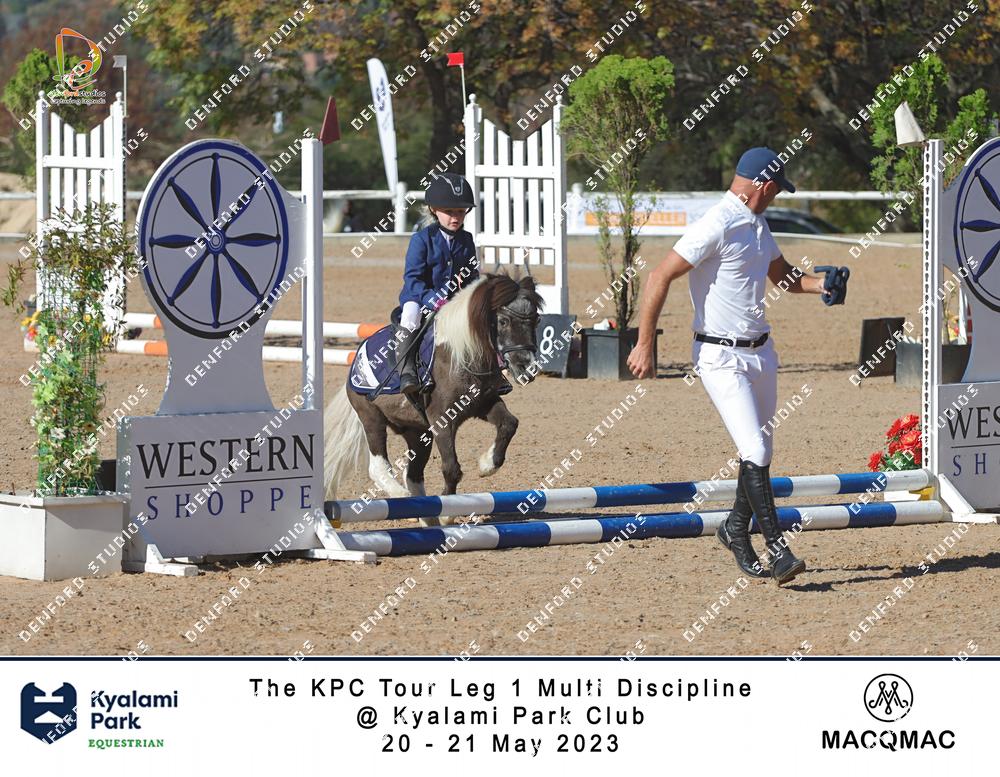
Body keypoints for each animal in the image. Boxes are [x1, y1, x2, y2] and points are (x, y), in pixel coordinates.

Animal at [323, 272, 544, 525]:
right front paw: (448, 513)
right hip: (372, 418)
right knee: (378, 466)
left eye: (536, 320)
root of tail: (358, 356)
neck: (463, 355)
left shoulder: (484, 404)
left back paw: (425, 516)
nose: (527, 368)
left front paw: (487, 464)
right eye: (504, 321)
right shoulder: (442, 420)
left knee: (413, 474)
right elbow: (451, 468)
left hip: (418, 432)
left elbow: (509, 424)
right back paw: (402, 496)